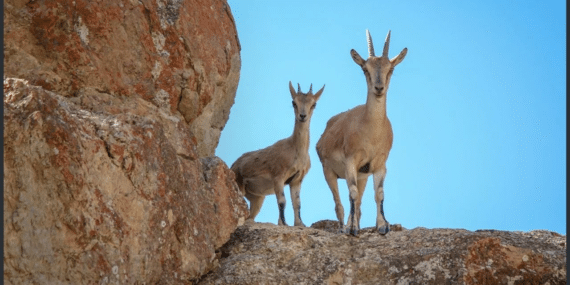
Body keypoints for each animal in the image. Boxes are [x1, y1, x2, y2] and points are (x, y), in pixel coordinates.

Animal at [229, 81, 322, 226]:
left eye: (314, 104)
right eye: (294, 102)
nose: (302, 116)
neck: (296, 151)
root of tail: (233, 165)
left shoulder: (296, 180)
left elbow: (297, 203)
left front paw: (299, 223)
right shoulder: (278, 177)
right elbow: (282, 201)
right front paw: (284, 223)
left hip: (257, 197)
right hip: (240, 186)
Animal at [316, 30, 404, 235]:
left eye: (391, 69)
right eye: (365, 69)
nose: (379, 88)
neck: (371, 132)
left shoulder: (379, 165)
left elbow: (379, 194)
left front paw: (382, 226)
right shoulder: (351, 162)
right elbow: (352, 193)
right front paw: (352, 229)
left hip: (362, 176)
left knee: (359, 204)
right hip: (328, 171)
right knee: (339, 203)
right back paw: (343, 228)